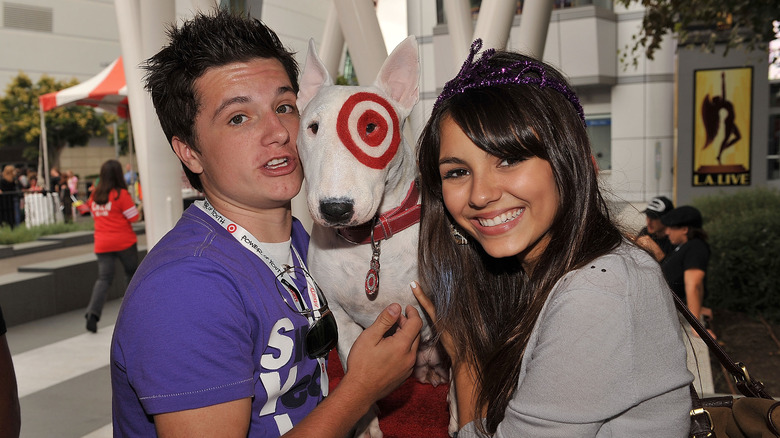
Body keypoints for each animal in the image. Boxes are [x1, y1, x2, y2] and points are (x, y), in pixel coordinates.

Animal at [298, 36, 450, 436]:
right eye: (312, 127)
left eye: (372, 128)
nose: (336, 209)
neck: (370, 241)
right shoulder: (339, 316)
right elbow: (354, 365)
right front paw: (365, 423)